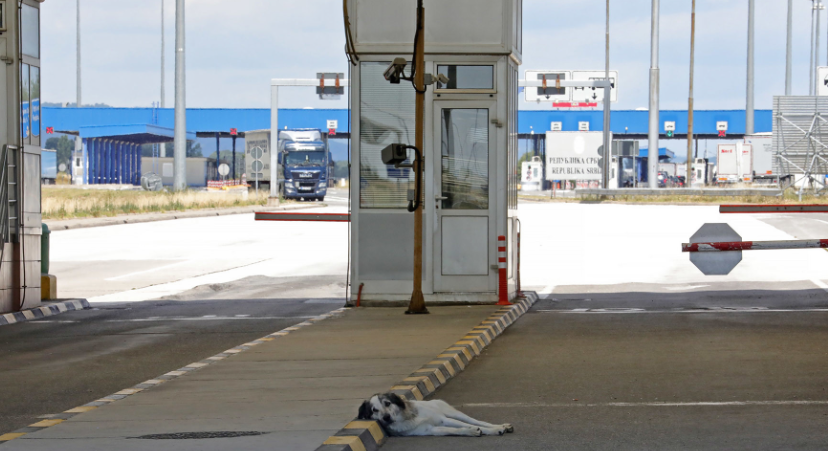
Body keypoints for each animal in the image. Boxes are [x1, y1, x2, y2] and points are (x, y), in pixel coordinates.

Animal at [360, 392, 516, 438]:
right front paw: (471, 431)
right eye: (374, 410)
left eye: (387, 403)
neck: (409, 417)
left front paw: (495, 429)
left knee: (475, 420)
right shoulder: (432, 429)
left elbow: (473, 425)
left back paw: (500, 426)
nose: (386, 418)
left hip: (454, 413)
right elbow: (456, 430)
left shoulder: (443, 420)